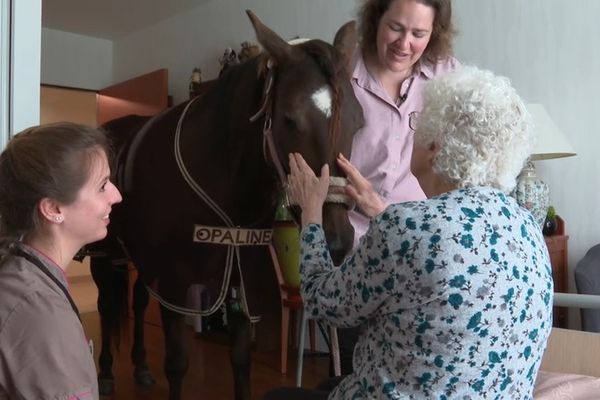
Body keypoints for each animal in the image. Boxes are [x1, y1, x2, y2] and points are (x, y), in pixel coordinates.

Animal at [88, 10, 360, 398]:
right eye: (289, 119)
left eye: (358, 120)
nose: (336, 240)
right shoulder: (173, 279)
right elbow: (177, 363)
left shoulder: (241, 272)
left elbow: (241, 360)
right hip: (105, 253)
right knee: (107, 305)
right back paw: (107, 371)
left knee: (137, 301)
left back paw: (139, 364)